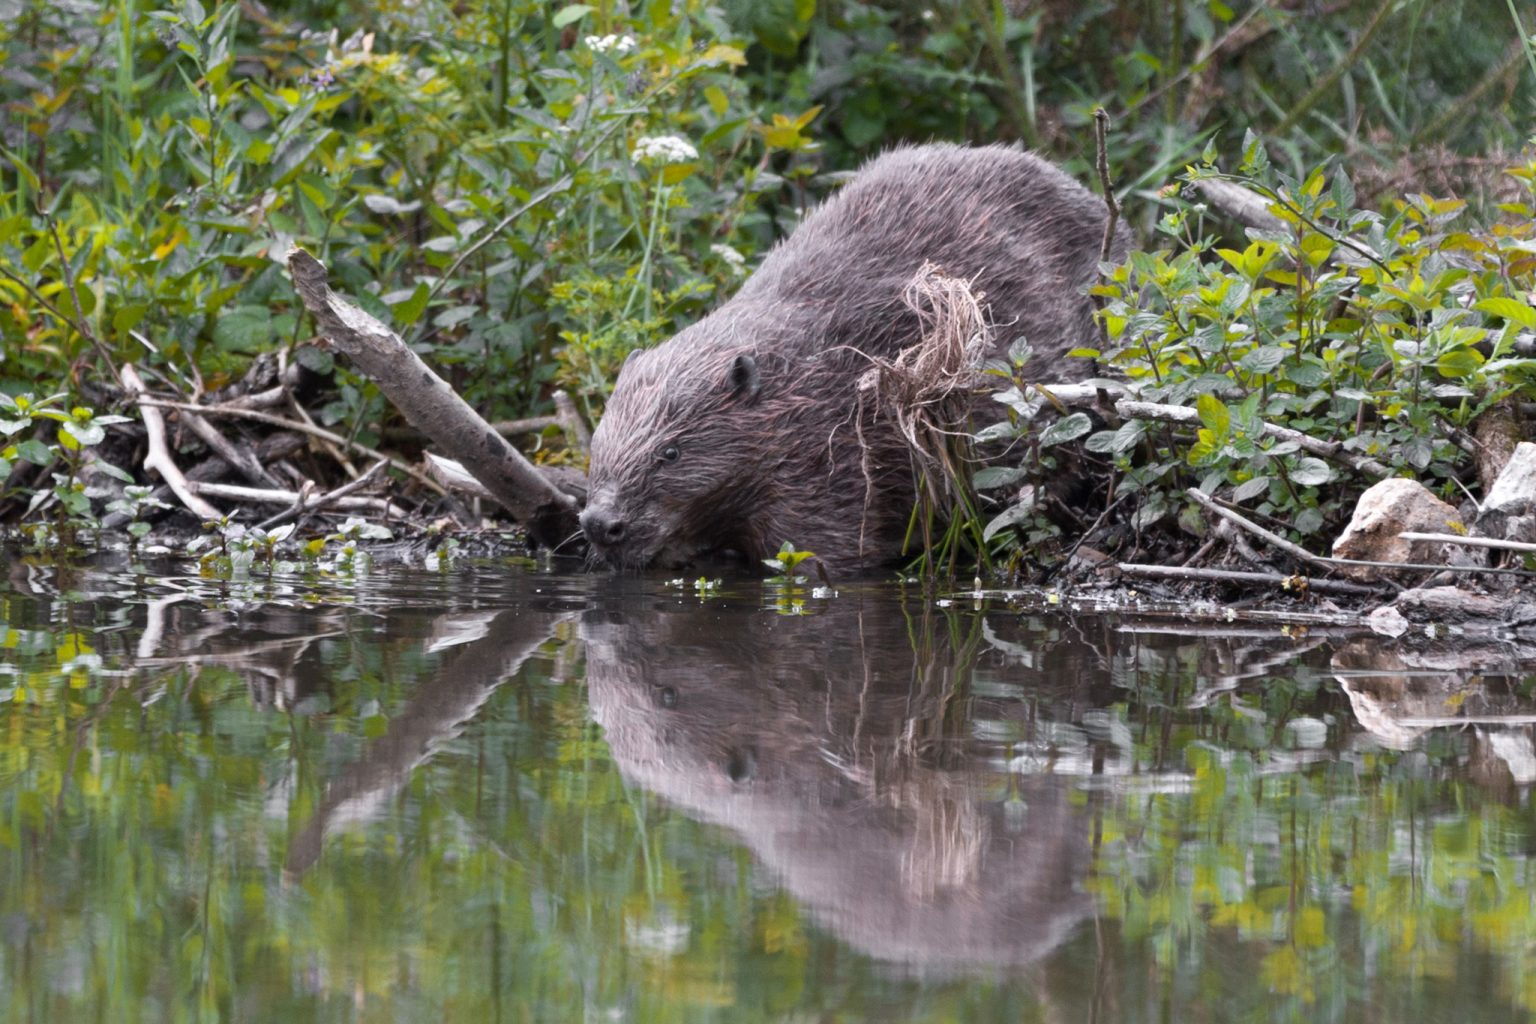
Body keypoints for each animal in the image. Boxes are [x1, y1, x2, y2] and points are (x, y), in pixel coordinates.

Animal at [577, 142, 1130, 577]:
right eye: (595, 444)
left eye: (670, 453)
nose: (600, 523)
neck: (799, 378)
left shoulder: (834, 460)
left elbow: (822, 552)